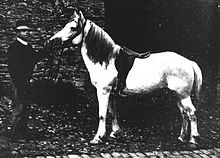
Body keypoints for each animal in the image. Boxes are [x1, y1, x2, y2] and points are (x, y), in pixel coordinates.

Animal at [48, 9, 203, 146]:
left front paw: (97, 137)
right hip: (177, 94)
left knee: (191, 113)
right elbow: (112, 113)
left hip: (183, 95)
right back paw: (181, 137)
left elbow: (102, 114)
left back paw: (193, 139)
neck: (106, 59)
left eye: (73, 27)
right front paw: (114, 133)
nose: (52, 41)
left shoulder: (103, 91)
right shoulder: (111, 93)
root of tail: (189, 62)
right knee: (184, 113)